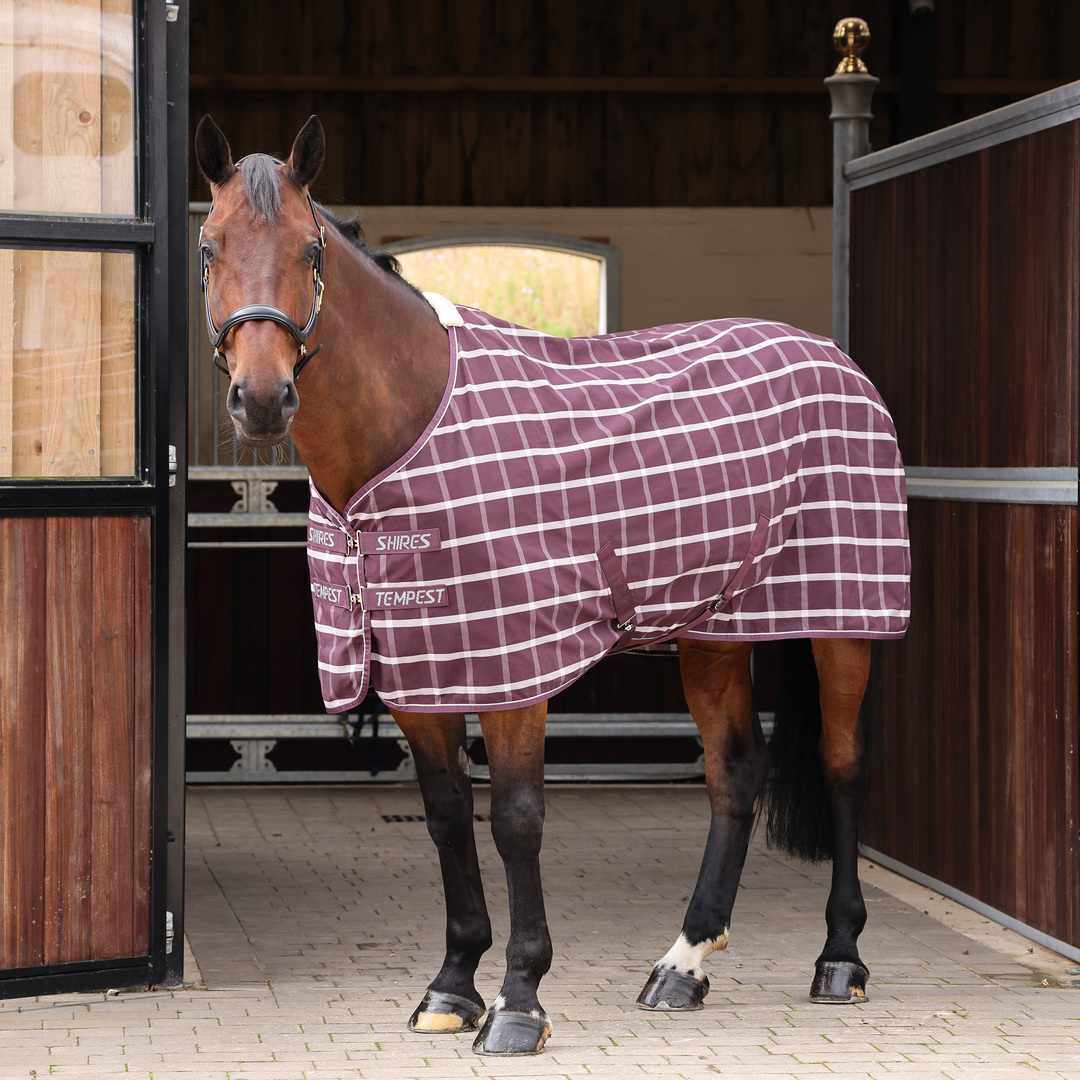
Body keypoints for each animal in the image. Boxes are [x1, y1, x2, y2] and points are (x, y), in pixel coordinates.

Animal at [194, 113, 910, 1057]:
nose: (264, 399)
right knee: (735, 773)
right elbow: (447, 814)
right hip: (712, 629)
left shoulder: (514, 668)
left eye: (310, 250)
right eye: (209, 246)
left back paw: (841, 959)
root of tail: (834, 357)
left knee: (841, 765)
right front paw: (453, 985)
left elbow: (516, 819)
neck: (408, 428)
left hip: (843, 617)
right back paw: (683, 965)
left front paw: (519, 1002)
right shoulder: (420, 665)